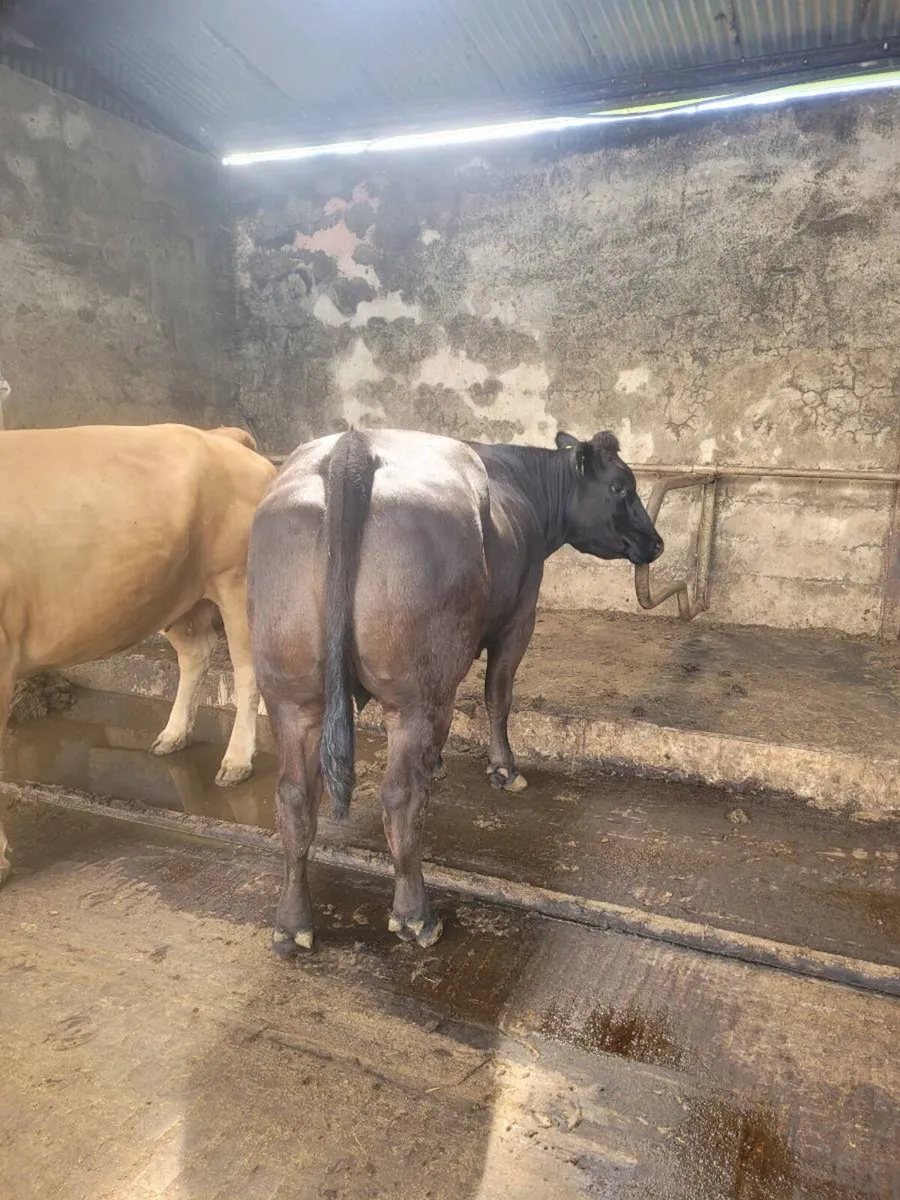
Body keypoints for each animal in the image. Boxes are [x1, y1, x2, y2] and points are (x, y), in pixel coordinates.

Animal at [0, 422, 277, 886]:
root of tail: (220, 436)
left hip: (236, 580)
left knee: (247, 669)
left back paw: (237, 760)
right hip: (173, 593)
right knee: (197, 652)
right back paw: (173, 735)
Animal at [248, 427, 663, 955]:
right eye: (620, 488)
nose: (656, 542)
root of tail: (354, 446)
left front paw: (440, 762)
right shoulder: (518, 619)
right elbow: (497, 696)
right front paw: (505, 770)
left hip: (290, 695)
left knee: (295, 798)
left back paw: (292, 924)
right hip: (414, 695)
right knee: (400, 797)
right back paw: (416, 917)